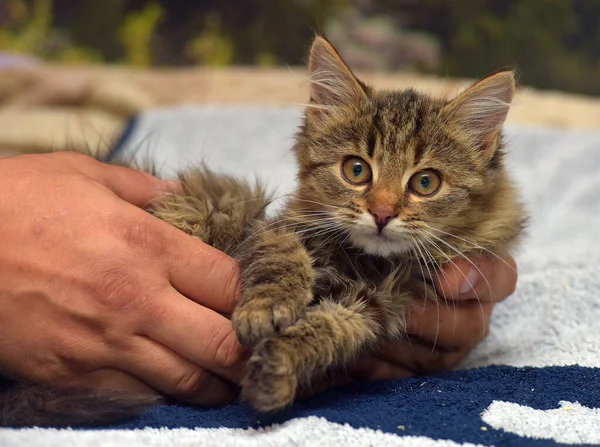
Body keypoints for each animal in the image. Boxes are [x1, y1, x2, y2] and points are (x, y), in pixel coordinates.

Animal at [0, 35, 524, 428]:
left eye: (425, 183)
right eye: (356, 170)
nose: (381, 213)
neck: (365, 261)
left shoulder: (376, 307)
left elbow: (331, 332)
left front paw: (278, 368)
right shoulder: (272, 226)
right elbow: (281, 257)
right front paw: (265, 310)